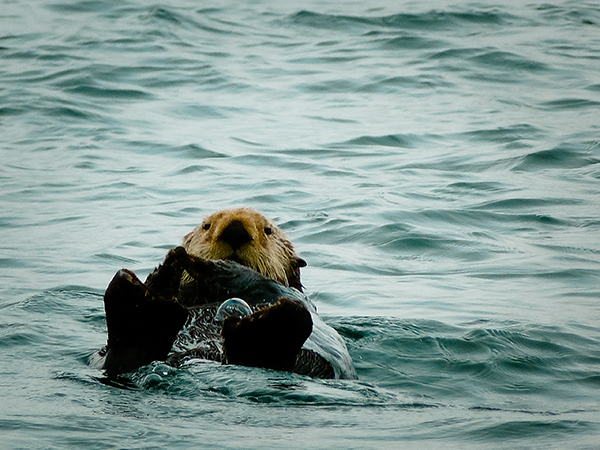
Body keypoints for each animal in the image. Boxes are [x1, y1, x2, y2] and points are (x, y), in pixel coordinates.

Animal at [92, 207, 356, 380]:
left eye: (268, 230)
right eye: (206, 226)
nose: (235, 229)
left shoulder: (294, 294)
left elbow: (265, 284)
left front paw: (205, 264)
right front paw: (170, 265)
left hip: (313, 361)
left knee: (292, 322)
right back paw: (141, 309)